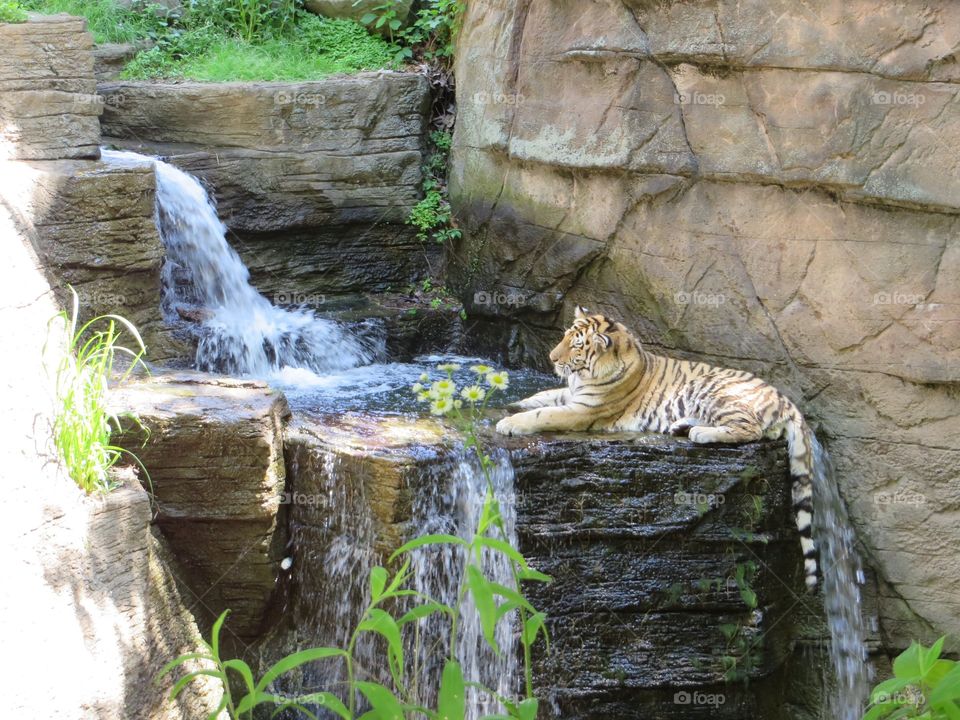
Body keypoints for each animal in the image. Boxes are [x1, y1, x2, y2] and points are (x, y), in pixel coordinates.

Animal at [496, 306, 816, 592]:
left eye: (575, 344)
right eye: (564, 337)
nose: (551, 358)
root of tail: (786, 400)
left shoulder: (582, 411)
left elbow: (544, 413)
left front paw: (509, 422)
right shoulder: (571, 395)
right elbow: (545, 396)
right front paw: (517, 401)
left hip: (713, 391)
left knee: (749, 430)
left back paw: (699, 432)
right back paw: (681, 426)